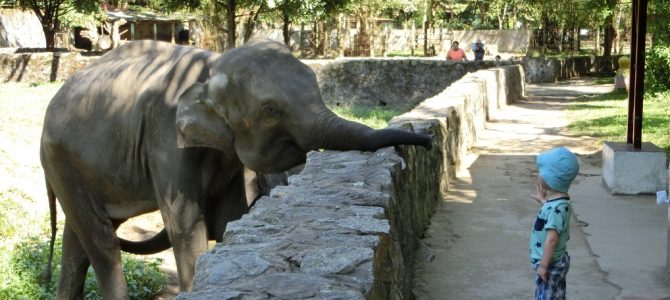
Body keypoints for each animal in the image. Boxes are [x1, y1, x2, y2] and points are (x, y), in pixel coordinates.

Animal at [39, 38, 434, 298]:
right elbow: (185, 222)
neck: (211, 66)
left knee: (79, 241)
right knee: (101, 239)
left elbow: (233, 216)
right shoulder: (164, 135)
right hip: (60, 161)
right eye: (270, 111)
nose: (428, 140)